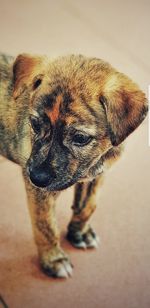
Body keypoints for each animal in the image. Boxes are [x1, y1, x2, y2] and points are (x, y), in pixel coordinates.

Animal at [0, 53, 148, 280]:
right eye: (34, 124)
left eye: (80, 138)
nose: (36, 177)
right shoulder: (40, 194)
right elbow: (45, 226)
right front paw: (53, 259)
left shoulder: (98, 174)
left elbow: (89, 204)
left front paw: (80, 232)